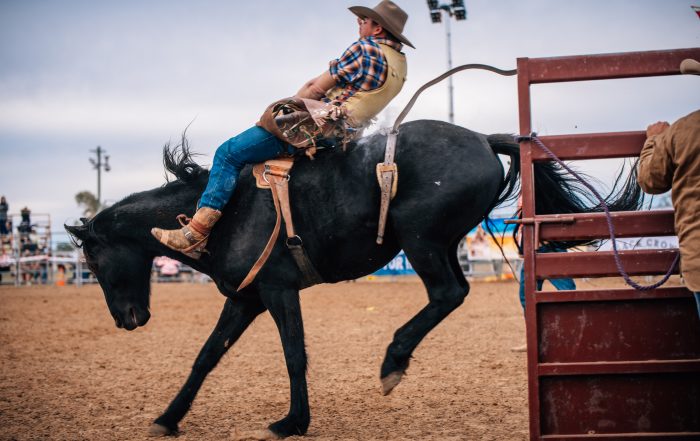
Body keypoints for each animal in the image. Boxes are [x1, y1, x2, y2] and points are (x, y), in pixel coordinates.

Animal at [65, 118, 640, 438]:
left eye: (91, 260)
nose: (127, 320)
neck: (226, 211)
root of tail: (481, 137)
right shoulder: (246, 298)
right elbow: (207, 356)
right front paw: (168, 418)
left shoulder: (277, 291)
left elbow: (294, 355)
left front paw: (293, 423)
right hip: (436, 243)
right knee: (452, 294)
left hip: (421, 239)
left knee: (448, 293)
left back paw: (392, 362)